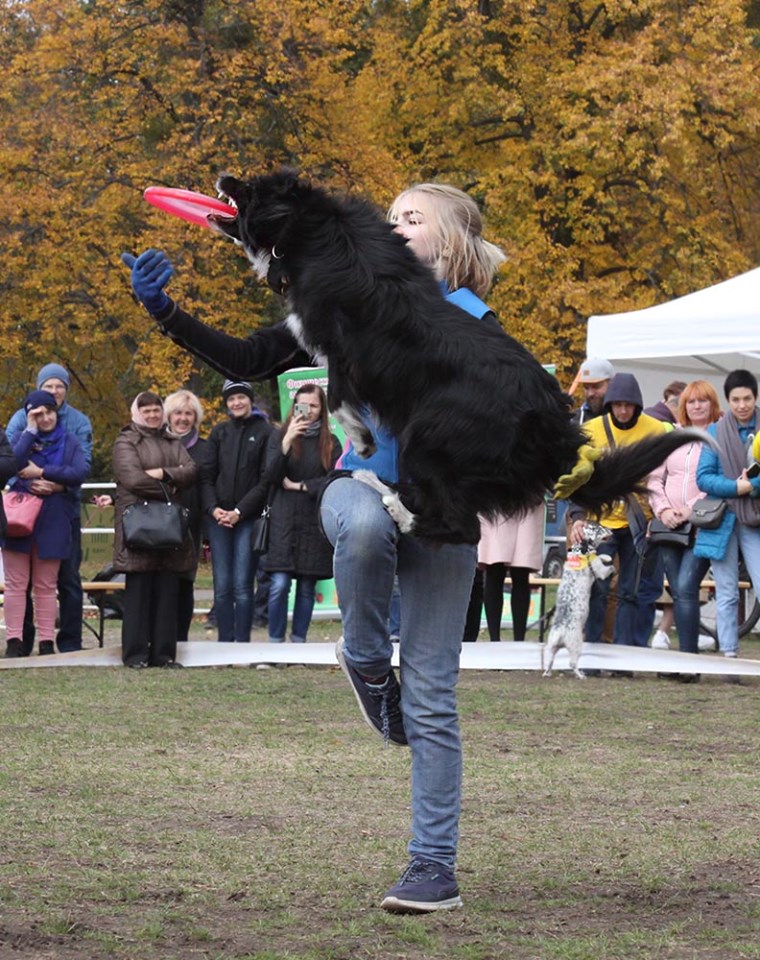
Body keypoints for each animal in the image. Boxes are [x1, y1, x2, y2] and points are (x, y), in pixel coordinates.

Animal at [211, 169, 704, 544]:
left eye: (250, 187)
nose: (223, 175)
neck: (310, 228)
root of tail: (550, 425)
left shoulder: (344, 345)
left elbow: (337, 394)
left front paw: (362, 439)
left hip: (428, 436)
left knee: (461, 527)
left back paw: (390, 500)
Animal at [544, 520, 616, 680]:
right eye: (599, 528)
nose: (613, 530)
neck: (580, 551)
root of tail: (560, 632)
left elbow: (600, 555)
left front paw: (606, 557)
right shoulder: (599, 570)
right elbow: (605, 564)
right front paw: (611, 563)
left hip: (551, 648)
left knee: (549, 661)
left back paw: (547, 672)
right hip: (576, 645)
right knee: (572, 663)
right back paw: (581, 675)